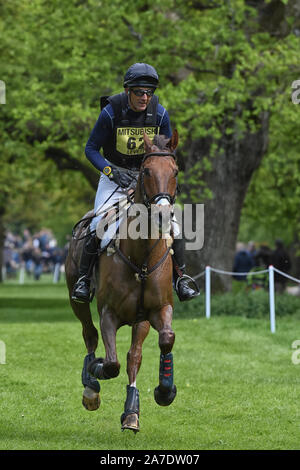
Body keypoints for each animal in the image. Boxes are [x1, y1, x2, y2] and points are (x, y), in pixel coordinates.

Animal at [65, 130, 178, 432]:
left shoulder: (157, 310)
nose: (163, 215)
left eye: (175, 171)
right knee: (89, 334)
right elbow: (111, 363)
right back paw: (90, 384)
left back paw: (131, 412)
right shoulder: (109, 314)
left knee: (133, 357)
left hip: (140, 321)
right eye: (146, 171)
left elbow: (164, 340)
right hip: (76, 300)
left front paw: (164, 390)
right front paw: (95, 371)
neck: (141, 257)